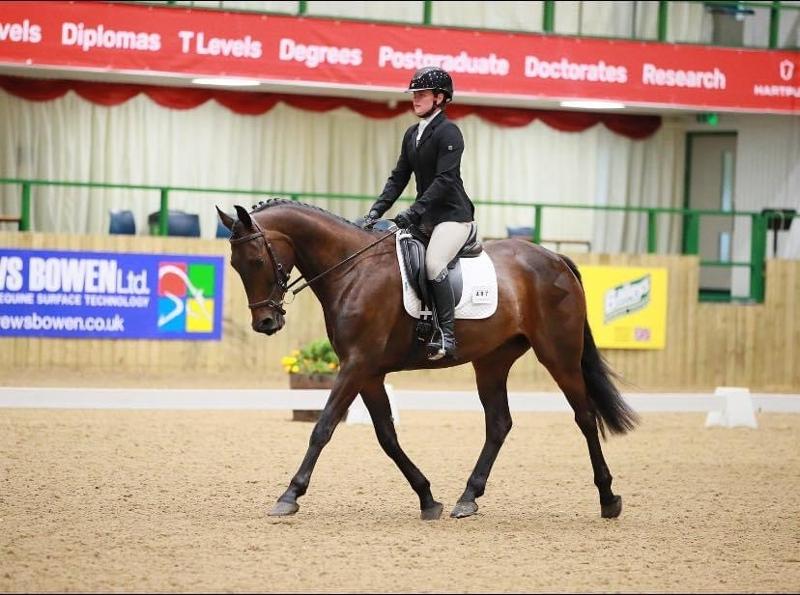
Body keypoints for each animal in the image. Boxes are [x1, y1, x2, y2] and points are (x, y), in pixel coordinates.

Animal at [217, 199, 638, 521]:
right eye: (236, 265)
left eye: (256, 260)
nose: (266, 322)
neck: (353, 269)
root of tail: (555, 257)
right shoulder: (368, 372)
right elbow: (387, 437)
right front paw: (427, 498)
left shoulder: (356, 365)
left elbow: (323, 428)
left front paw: (289, 495)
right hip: (492, 361)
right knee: (499, 423)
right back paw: (467, 499)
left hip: (558, 354)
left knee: (584, 416)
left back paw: (608, 499)